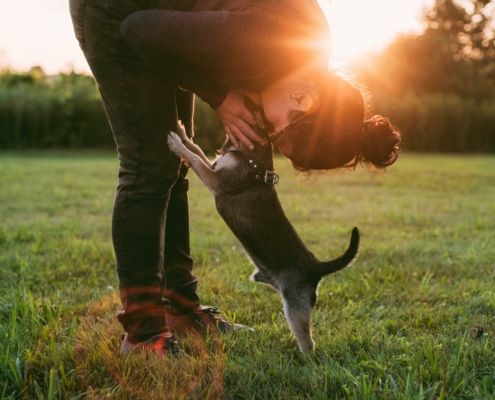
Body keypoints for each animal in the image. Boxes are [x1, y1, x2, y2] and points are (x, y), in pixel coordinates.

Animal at [168, 121, 360, 354]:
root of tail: (316, 267)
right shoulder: (214, 167)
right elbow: (196, 150)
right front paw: (183, 134)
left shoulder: (216, 180)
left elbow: (195, 159)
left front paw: (177, 144)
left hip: (295, 307)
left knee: (308, 343)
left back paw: (305, 359)